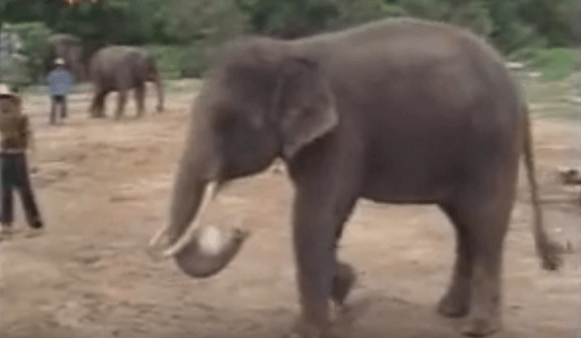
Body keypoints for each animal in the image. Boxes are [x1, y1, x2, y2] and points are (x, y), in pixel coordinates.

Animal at [147, 17, 564, 338]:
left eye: (224, 120)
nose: (238, 230)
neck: (289, 51)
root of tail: (519, 91)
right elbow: (328, 217)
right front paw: (346, 290)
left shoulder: (343, 133)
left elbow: (315, 214)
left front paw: (310, 329)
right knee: (465, 223)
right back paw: (449, 312)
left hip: (491, 143)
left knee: (485, 220)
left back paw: (478, 328)